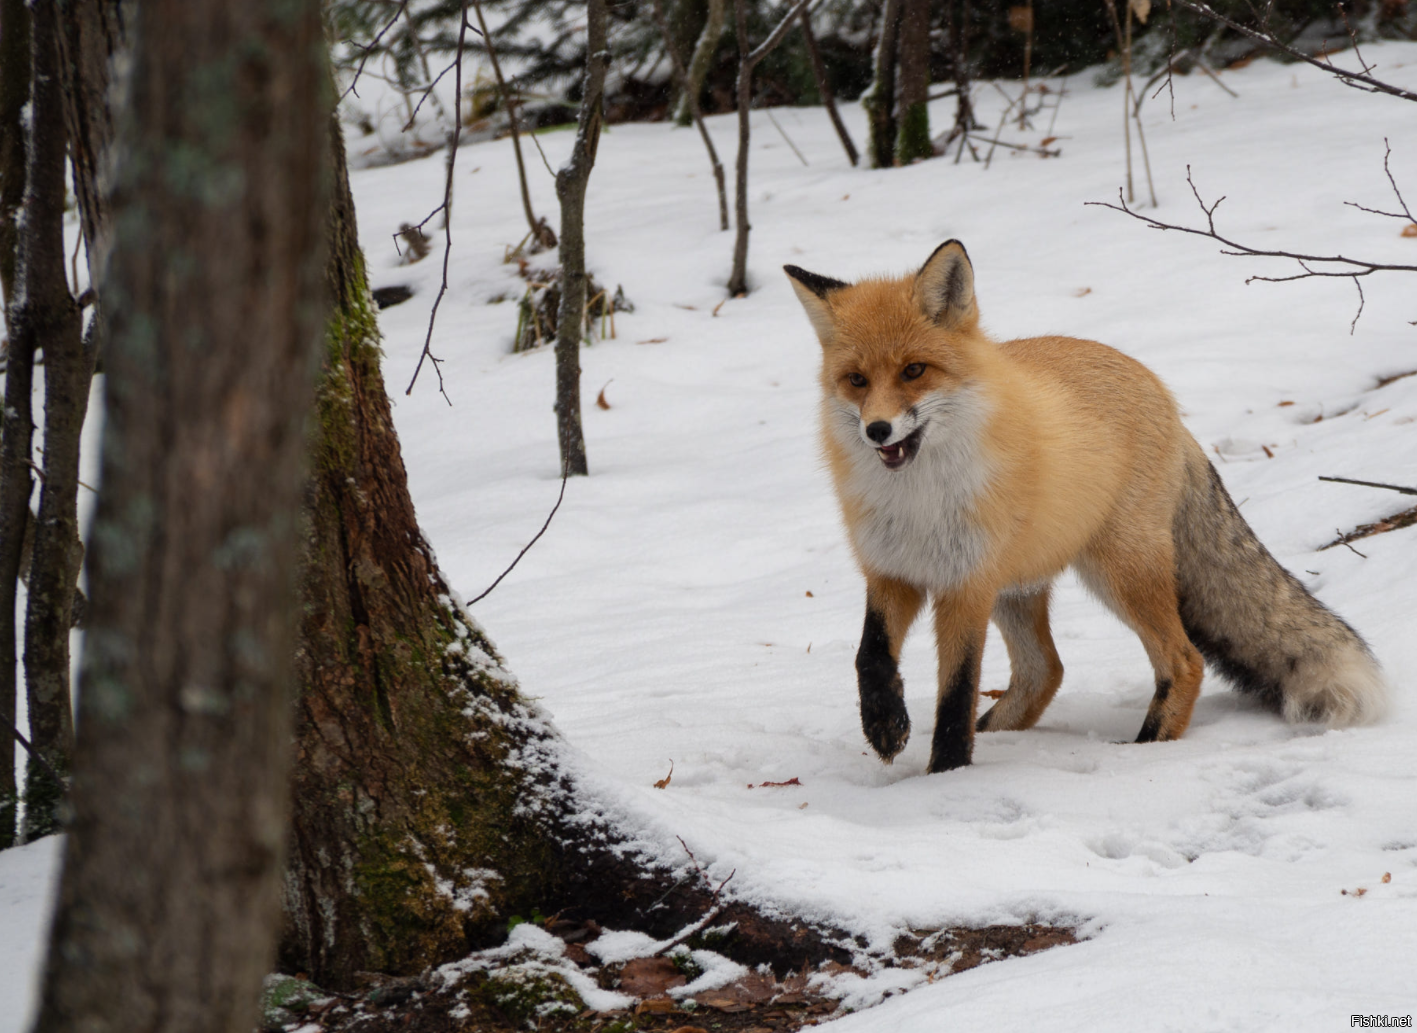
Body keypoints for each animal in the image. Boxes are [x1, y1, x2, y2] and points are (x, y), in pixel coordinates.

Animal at [793, 242, 1388, 770]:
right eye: (856, 380)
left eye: (914, 371)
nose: (877, 429)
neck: (919, 501)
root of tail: (1165, 396)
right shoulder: (892, 570)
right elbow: (870, 657)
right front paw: (885, 727)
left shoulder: (968, 584)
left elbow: (956, 694)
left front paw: (946, 773)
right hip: (1021, 586)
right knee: (1046, 671)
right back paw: (1004, 733)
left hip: (1119, 572)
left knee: (1183, 660)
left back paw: (1148, 747)